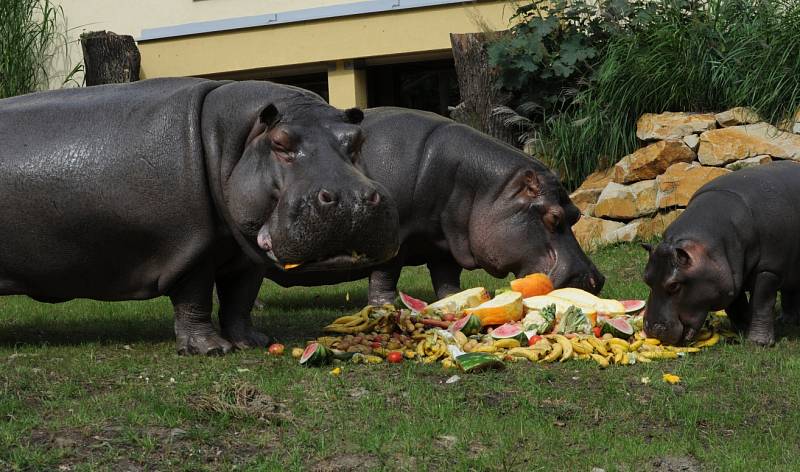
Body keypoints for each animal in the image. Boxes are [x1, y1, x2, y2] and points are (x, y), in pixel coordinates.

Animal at [0, 77, 400, 354]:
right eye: (280, 143)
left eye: (358, 140)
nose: (351, 200)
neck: (232, 141)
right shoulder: (191, 250)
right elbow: (196, 300)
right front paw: (211, 350)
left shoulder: (243, 253)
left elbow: (239, 299)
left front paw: (253, 341)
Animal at [640, 160, 800, 344]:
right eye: (646, 278)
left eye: (674, 285)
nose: (652, 329)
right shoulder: (730, 276)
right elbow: (737, 306)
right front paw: (742, 330)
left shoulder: (769, 270)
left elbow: (762, 304)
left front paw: (758, 342)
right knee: (790, 291)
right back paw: (786, 320)